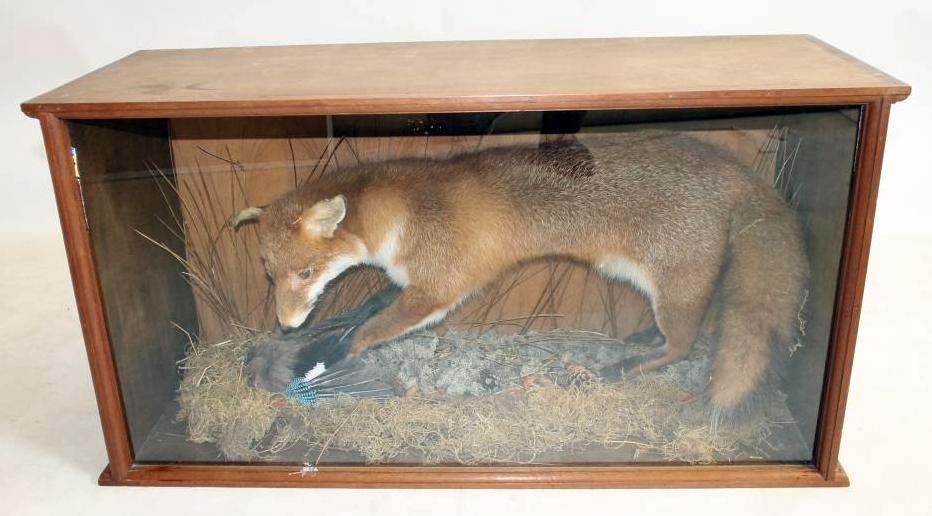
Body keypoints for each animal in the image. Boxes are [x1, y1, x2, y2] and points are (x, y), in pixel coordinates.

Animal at [233, 131, 808, 415]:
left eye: (307, 272)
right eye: (269, 275)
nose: (284, 325)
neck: (403, 217)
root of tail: (735, 168)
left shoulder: (438, 287)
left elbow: (369, 331)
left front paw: (328, 356)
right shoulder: (405, 281)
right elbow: (366, 308)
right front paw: (322, 338)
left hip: (672, 290)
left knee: (687, 347)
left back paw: (620, 369)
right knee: (682, 337)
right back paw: (640, 341)